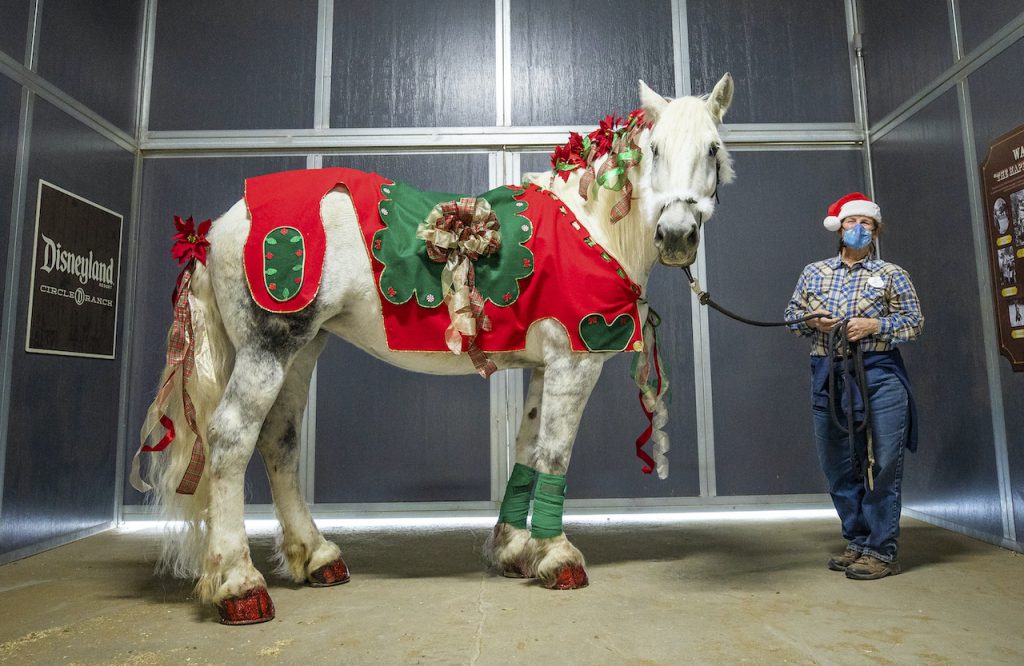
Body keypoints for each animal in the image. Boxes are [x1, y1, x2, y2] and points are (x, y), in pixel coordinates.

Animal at [140, 73, 737, 622]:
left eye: (712, 148)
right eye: (654, 150)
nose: (676, 235)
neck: (589, 227)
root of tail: (215, 228)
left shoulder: (544, 368)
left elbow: (526, 450)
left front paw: (513, 550)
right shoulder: (574, 362)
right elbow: (555, 453)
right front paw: (557, 556)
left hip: (302, 351)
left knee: (277, 441)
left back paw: (317, 557)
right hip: (271, 347)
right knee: (231, 439)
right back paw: (239, 585)